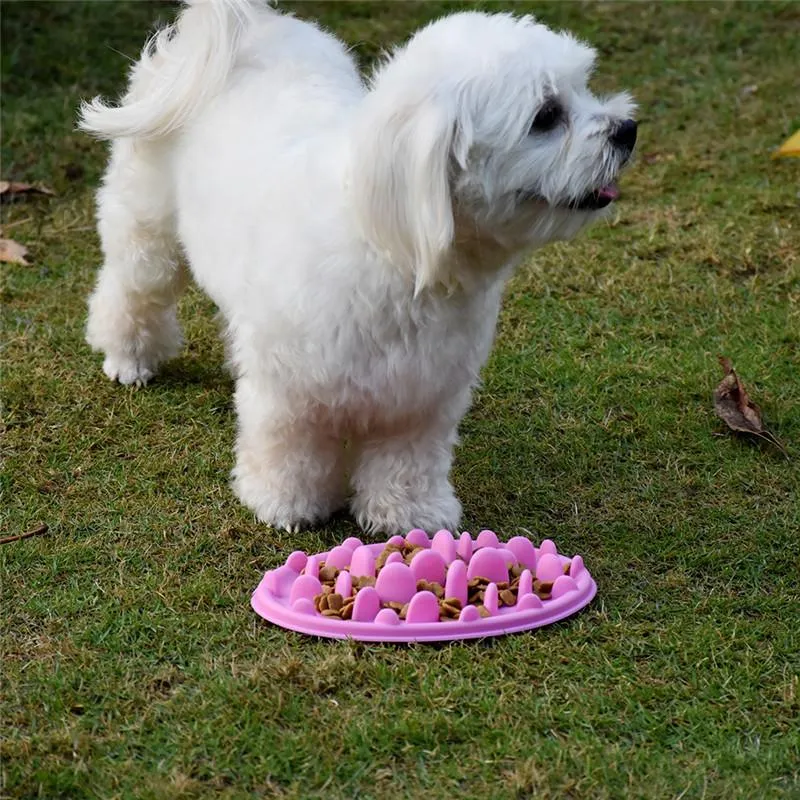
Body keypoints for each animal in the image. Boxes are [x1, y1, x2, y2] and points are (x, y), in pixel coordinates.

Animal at [78, 1, 636, 536]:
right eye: (546, 116)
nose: (627, 130)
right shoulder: (289, 391)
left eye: (584, 88)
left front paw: (408, 513)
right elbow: (291, 450)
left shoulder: (422, 396)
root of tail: (249, 25)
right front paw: (285, 503)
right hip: (146, 232)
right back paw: (129, 357)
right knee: (131, 291)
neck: (391, 249)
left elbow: (406, 462)